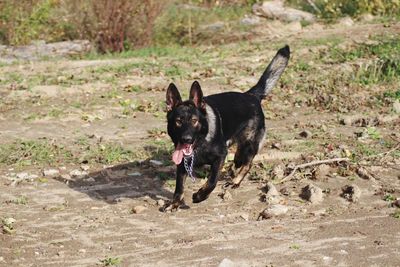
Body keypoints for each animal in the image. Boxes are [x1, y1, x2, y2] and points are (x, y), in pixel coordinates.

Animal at [162, 46, 290, 214]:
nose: (186, 139)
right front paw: (175, 203)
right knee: (239, 159)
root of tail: (251, 95)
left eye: (194, 121)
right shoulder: (183, 163)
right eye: (178, 122)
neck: (201, 143)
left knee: (248, 163)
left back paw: (235, 181)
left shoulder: (220, 157)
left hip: (249, 144)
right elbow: (179, 186)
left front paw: (200, 195)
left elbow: (212, 181)